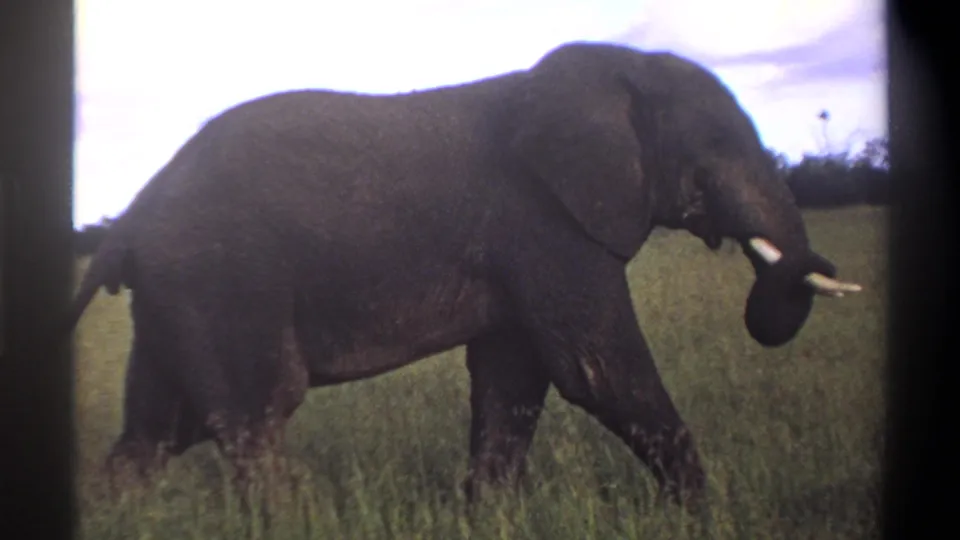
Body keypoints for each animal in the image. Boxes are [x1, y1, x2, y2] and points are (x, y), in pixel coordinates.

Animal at [67, 40, 862, 513]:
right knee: (256, 419)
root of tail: (128, 223)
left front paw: (489, 517)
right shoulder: (546, 222)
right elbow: (599, 372)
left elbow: (515, 380)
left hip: (178, 299)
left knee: (155, 432)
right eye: (720, 143)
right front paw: (710, 514)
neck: (619, 67)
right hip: (224, 283)